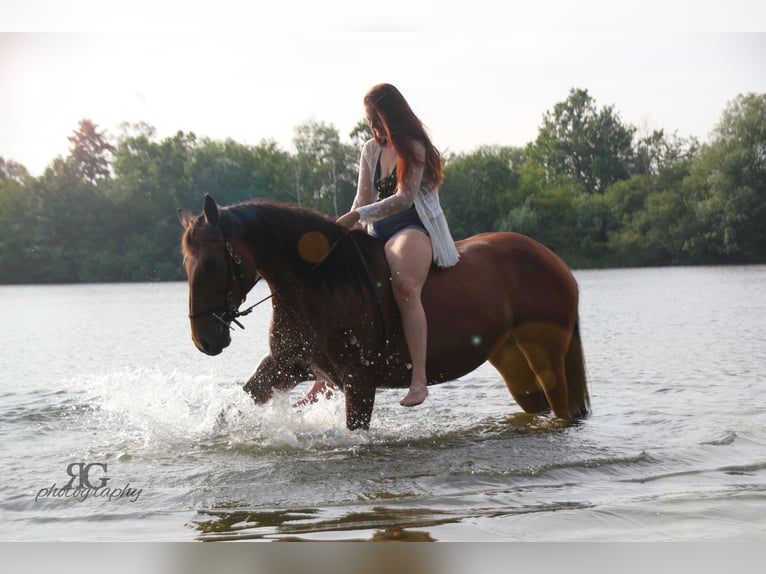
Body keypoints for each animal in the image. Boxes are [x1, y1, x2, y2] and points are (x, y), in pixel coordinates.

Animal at [180, 196, 592, 430]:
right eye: (185, 263)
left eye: (211, 264)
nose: (204, 340)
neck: (322, 284)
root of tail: (555, 262)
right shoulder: (287, 364)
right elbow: (232, 408)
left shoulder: (359, 380)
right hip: (512, 360)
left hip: (545, 355)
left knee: (563, 410)